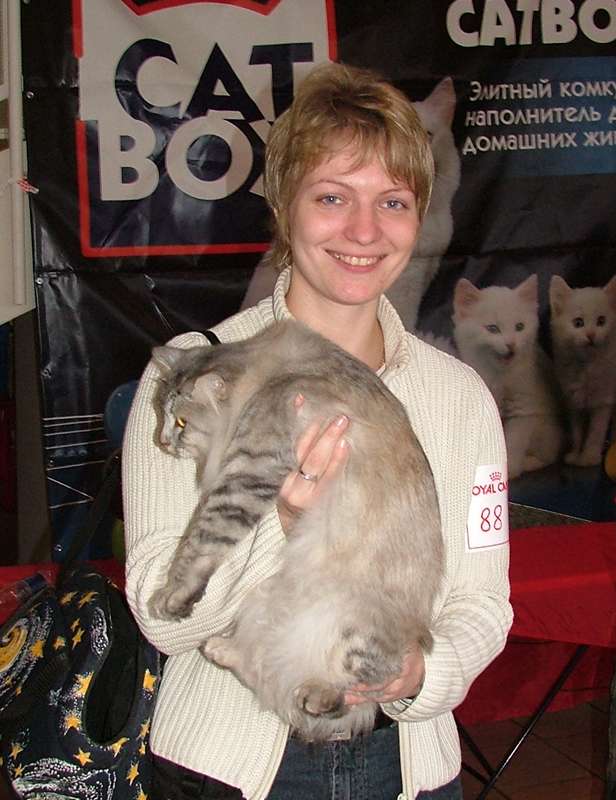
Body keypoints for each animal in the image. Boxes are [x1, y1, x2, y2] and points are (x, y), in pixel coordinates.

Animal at [148, 319, 443, 741]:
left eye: (182, 423)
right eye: (161, 412)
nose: (162, 441)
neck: (267, 377)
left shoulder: (247, 474)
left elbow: (199, 543)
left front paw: (172, 596)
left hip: (356, 632)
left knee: (352, 691)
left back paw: (316, 695)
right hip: (263, 598)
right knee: (262, 668)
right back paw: (223, 650)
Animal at [453, 275, 564, 480]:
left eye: (520, 327)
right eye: (492, 328)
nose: (511, 344)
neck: (499, 378)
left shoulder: (524, 410)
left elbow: (513, 443)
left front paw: (509, 470)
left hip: (547, 429)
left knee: (549, 455)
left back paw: (529, 463)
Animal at [549, 275, 616, 467]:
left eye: (601, 321)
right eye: (578, 323)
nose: (591, 335)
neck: (587, 366)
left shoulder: (603, 401)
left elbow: (595, 433)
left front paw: (589, 457)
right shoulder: (573, 401)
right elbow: (577, 432)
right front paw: (575, 454)